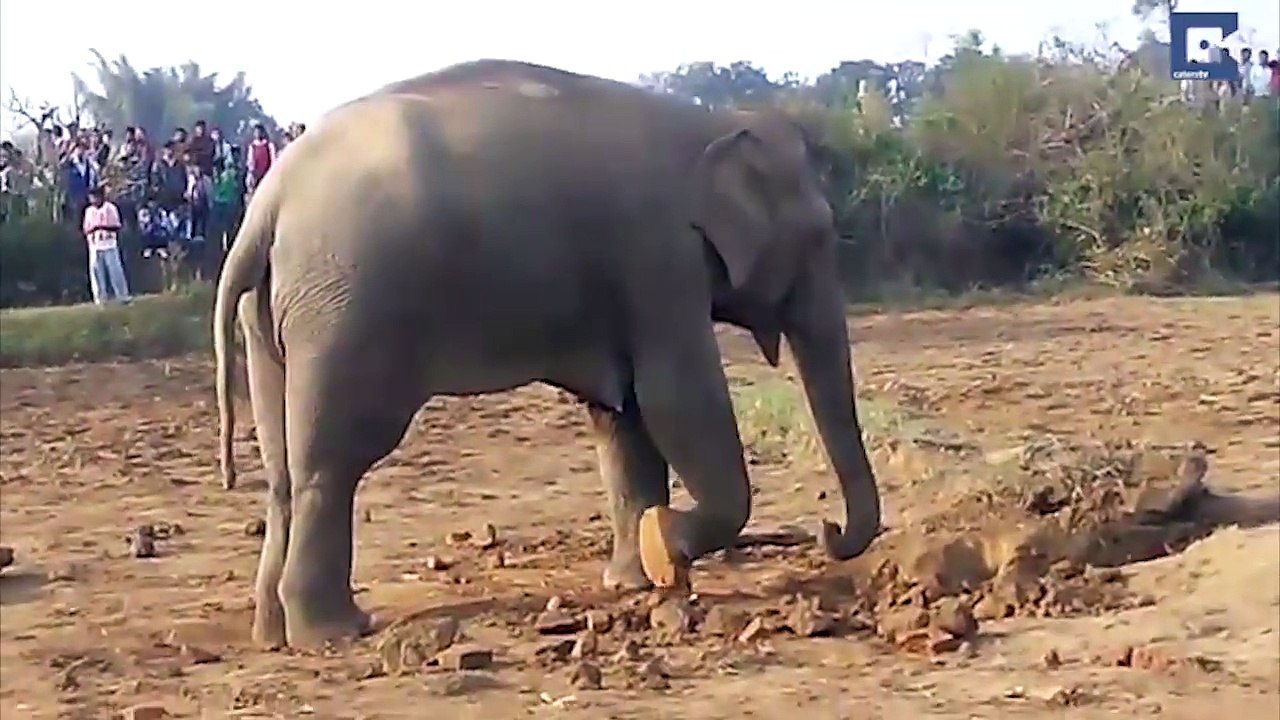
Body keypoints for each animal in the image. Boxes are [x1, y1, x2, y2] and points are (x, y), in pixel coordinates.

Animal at [212, 59, 883, 649]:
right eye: (821, 238)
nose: (826, 530)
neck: (709, 123)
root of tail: (266, 207)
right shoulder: (659, 258)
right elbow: (675, 399)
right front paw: (662, 546)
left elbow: (624, 416)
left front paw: (633, 578)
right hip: (346, 312)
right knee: (334, 461)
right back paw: (334, 633)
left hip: (275, 314)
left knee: (282, 471)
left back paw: (272, 633)